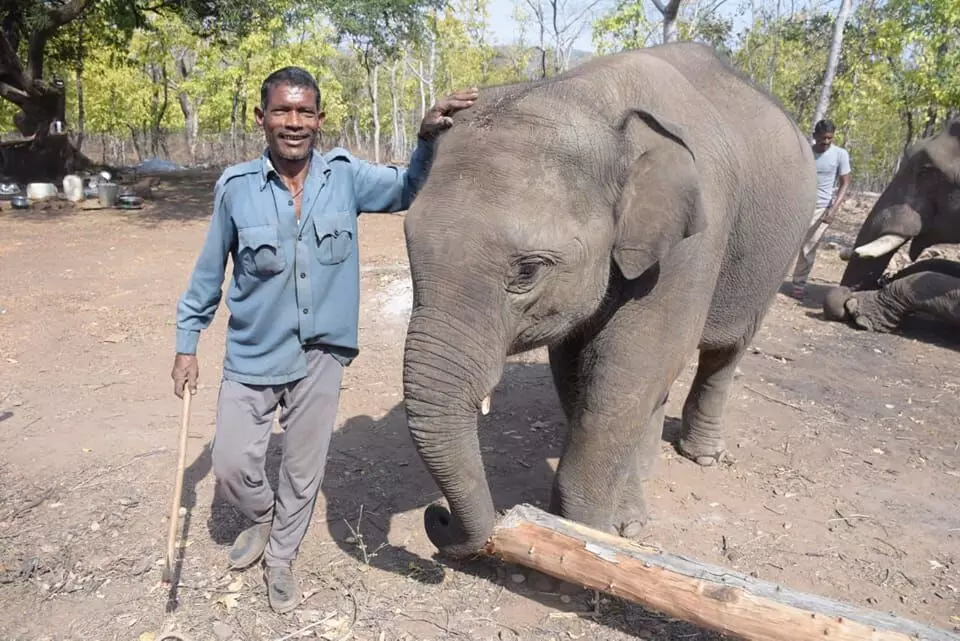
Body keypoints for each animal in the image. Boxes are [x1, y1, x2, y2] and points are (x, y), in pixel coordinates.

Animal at [400, 42, 816, 556]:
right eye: (409, 249)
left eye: (528, 270)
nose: (436, 517)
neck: (587, 96)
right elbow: (580, 369)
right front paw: (619, 525)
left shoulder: (694, 240)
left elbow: (630, 364)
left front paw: (590, 532)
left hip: (773, 257)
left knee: (725, 352)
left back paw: (702, 457)